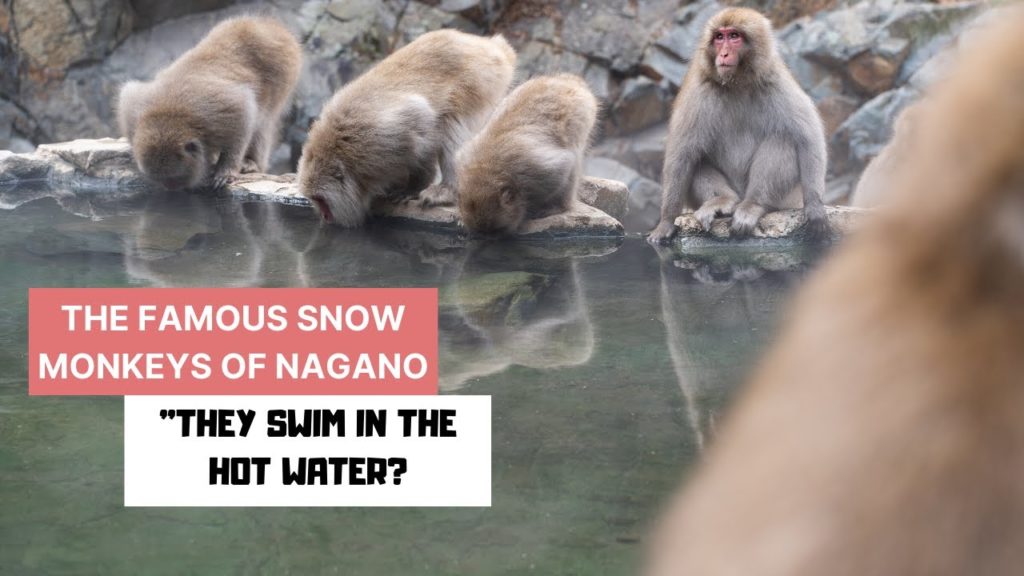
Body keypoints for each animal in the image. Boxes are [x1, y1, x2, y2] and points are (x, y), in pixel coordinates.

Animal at [117, 17, 301, 191]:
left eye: (174, 178)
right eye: (160, 179)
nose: (170, 188)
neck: (169, 114)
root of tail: (265, 23)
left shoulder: (217, 113)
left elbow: (244, 111)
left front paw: (226, 170)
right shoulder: (133, 112)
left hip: (284, 69)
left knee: (264, 119)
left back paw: (252, 163)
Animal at [297, 30, 517, 227]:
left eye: (320, 200)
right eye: (314, 200)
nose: (324, 216)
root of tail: (492, 46)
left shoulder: (379, 139)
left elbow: (421, 121)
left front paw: (413, 187)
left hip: (481, 80)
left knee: (450, 123)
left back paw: (448, 189)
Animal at [456, 74, 598, 235]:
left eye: (496, 230)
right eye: (481, 232)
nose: (490, 239)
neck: (486, 167)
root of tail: (566, 79)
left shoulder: (536, 169)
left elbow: (565, 165)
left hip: (584, 112)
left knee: (574, 157)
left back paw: (560, 206)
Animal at [648, 8, 829, 244]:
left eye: (734, 36)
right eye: (719, 37)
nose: (724, 54)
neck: (737, 83)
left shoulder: (775, 81)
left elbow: (808, 138)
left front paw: (815, 205)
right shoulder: (699, 91)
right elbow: (681, 156)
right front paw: (667, 221)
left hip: (786, 198)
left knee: (783, 140)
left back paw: (753, 205)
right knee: (696, 157)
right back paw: (724, 201)